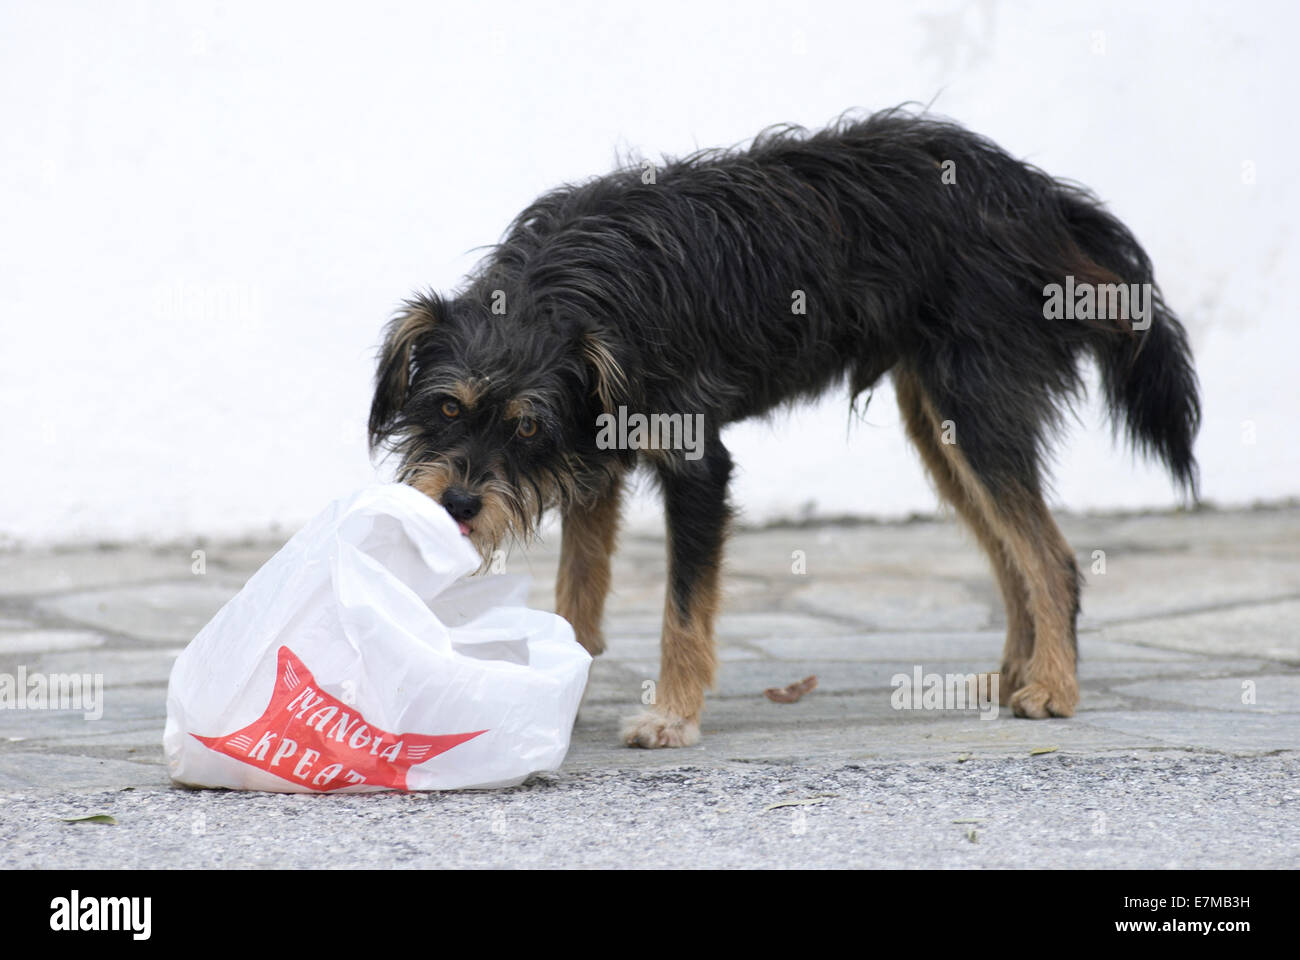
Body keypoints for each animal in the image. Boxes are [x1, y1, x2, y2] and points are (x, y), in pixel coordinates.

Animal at [364, 106, 1196, 749]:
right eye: (446, 408)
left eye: (527, 428)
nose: (459, 505)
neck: (578, 284)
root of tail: (1040, 193)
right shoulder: (596, 463)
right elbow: (580, 594)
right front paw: (563, 686)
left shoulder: (697, 464)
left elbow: (683, 608)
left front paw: (672, 716)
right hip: (943, 428)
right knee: (1011, 554)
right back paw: (1013, 673)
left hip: (980, 409)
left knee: (1050, 557)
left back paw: (1053, 687)